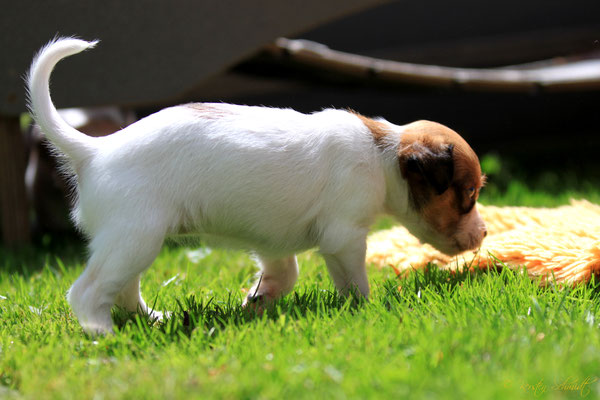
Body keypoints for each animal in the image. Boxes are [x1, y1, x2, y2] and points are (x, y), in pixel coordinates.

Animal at [27, 37, 488, 332]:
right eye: (468, 195)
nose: (484, 235)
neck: (382, 154)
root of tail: (95, 149)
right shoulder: (345, 238)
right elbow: (354, 283)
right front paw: (364, 309)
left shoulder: (273, 242)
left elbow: (284, 272)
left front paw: (259, 301)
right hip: (135, 238)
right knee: (87, 291)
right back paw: (102, 333)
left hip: (130, 242)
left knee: (122, 290)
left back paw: (152, 320)